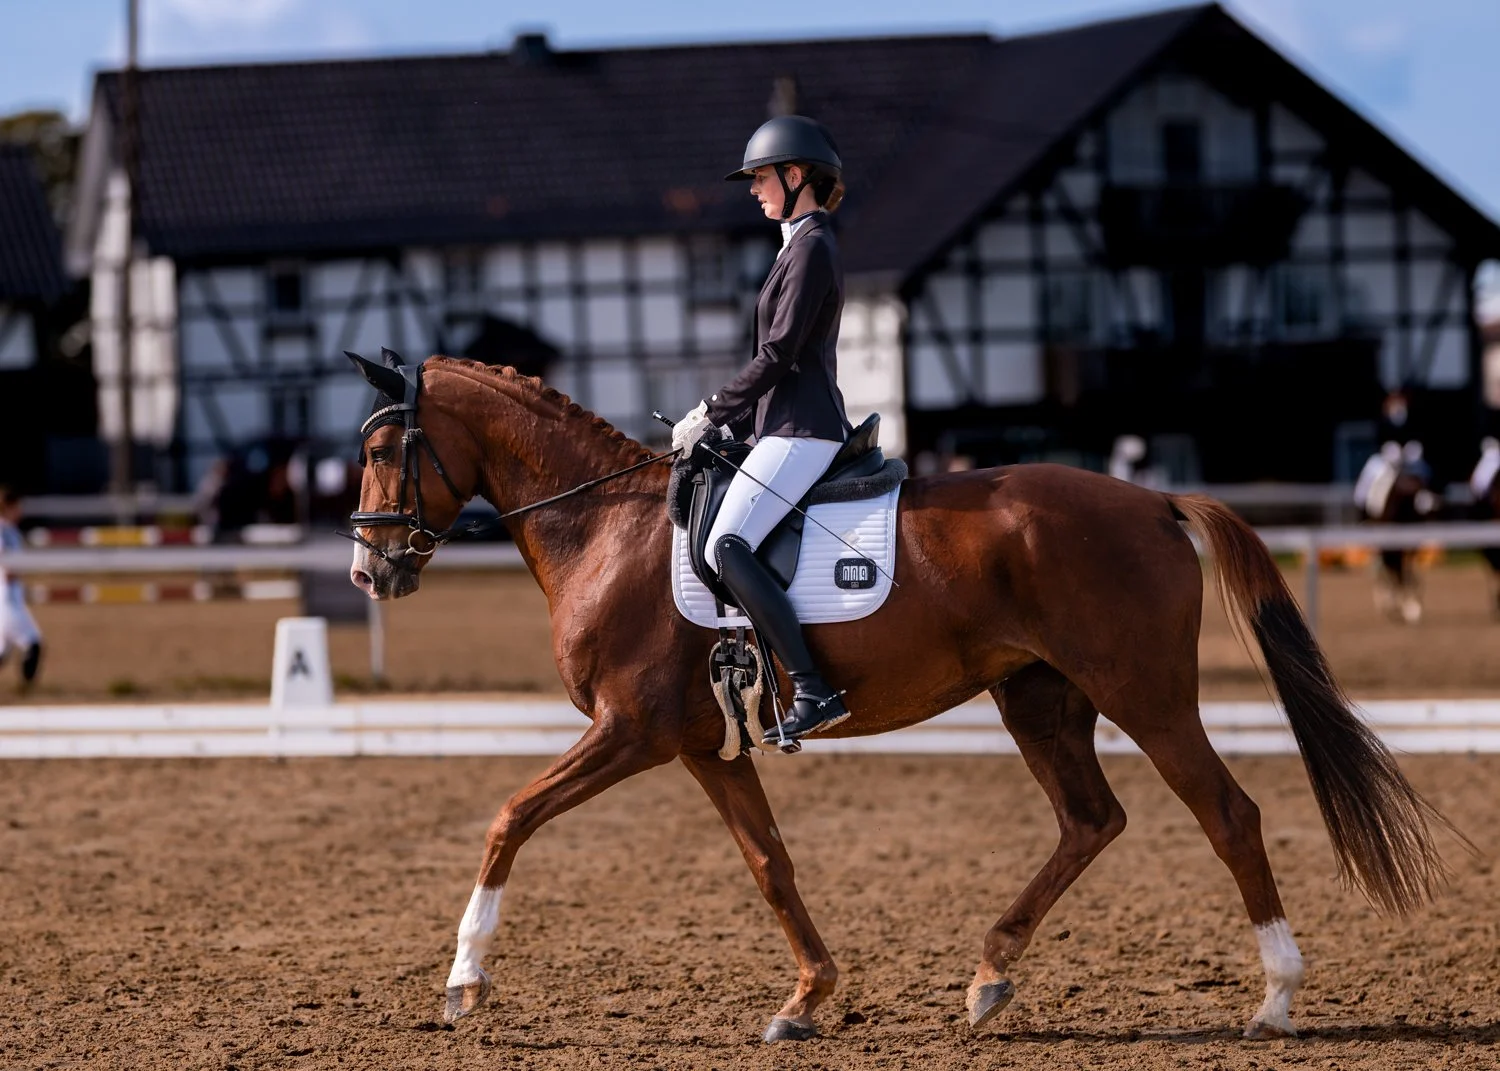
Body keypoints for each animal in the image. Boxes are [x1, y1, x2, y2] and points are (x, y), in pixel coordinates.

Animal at [344, 351, 1458, 1043]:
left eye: (381, 450)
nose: (370, 572)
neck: (606, 530)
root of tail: (1150, 498)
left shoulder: (632, 732)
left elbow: (508, 816)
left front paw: (463, 981)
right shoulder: (704, 746)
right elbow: (771, 865)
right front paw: (807, 999)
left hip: (1143, 693)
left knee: (1226, 813)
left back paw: (1275, 999)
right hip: (1038, 698)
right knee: (1091, 819)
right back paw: (991, 974)